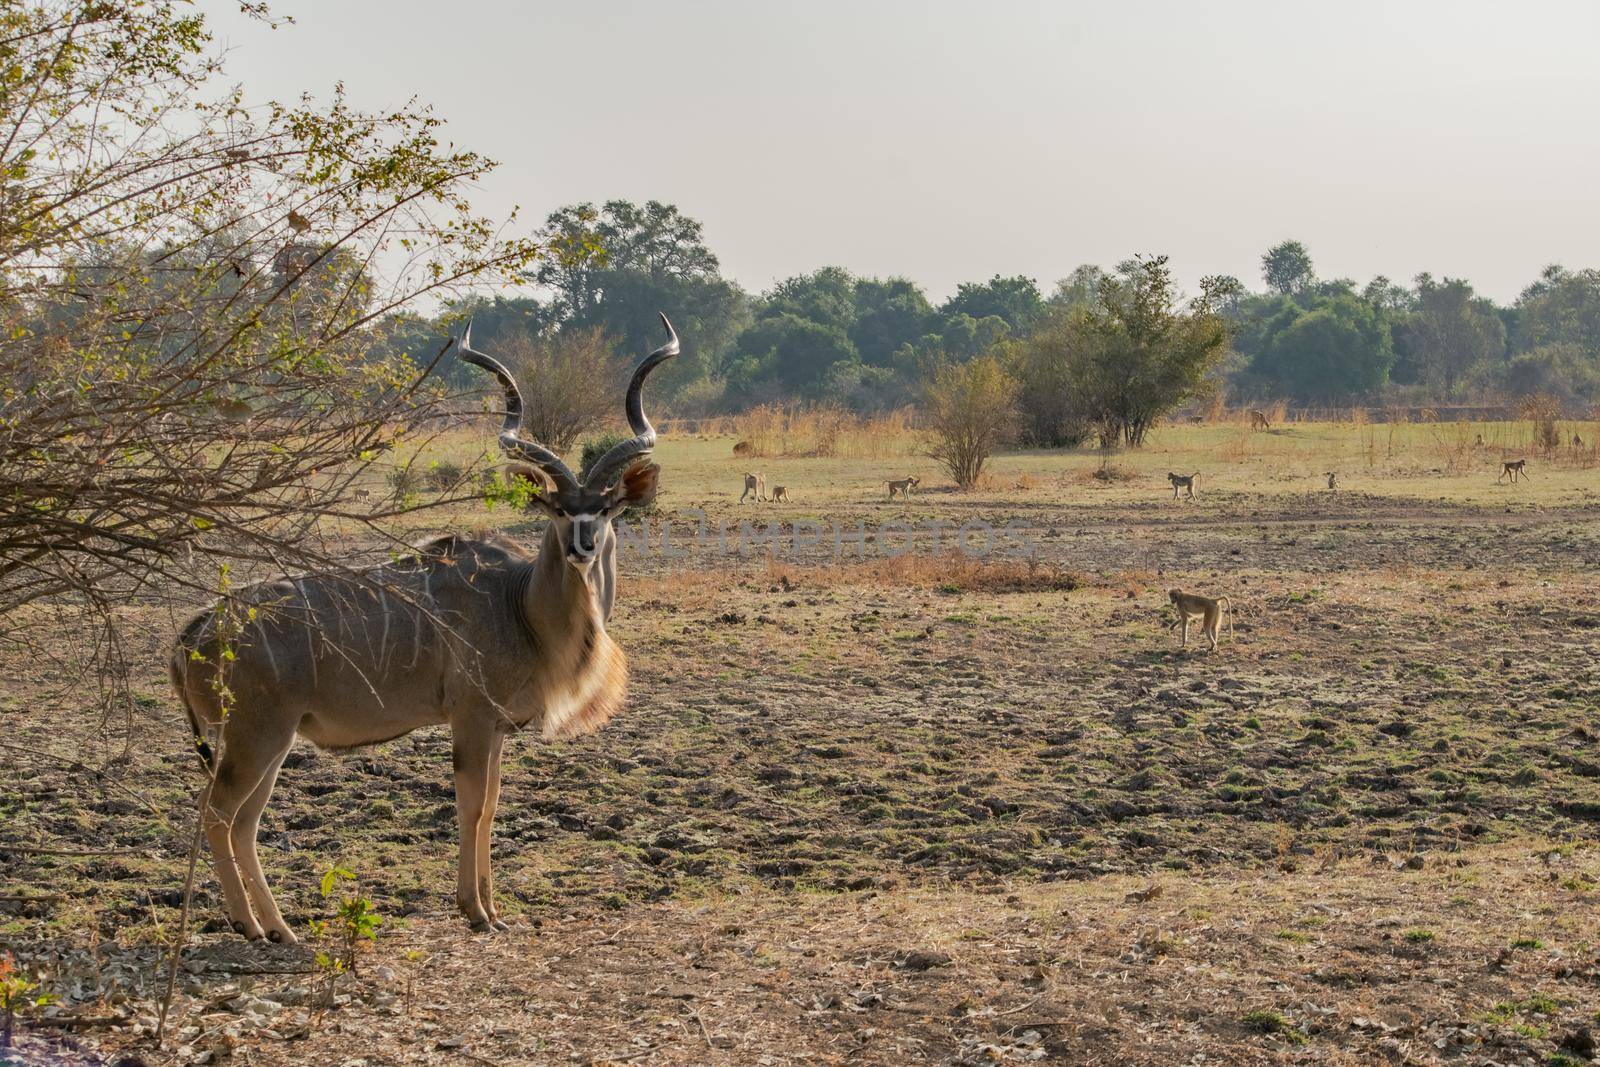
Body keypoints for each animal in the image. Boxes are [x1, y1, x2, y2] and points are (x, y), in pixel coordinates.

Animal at [170, 313, 681, 940]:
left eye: (606, 509)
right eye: (558, 509)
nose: (582, 546)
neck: (518, 604)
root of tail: (195, 631)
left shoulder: (496, 728)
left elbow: (492, 805)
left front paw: (494, 909)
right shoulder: (471, 718)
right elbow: (471, 806)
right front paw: (476, 912)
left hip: (270, 741)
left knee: (242, 821)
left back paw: (279, 928)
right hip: (255, 735)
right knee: (217, 814)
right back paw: (250, 927)